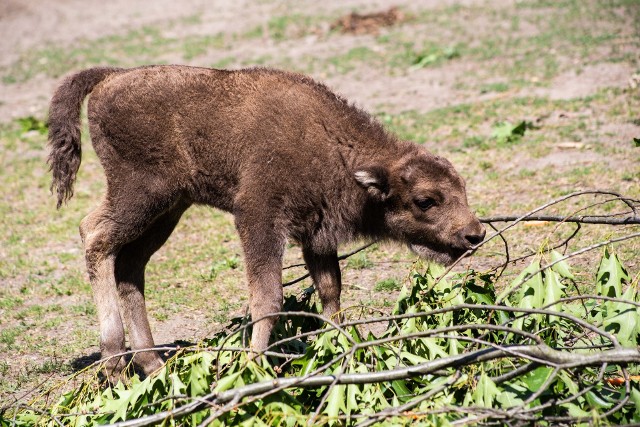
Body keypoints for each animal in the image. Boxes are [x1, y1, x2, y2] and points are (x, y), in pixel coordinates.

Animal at [47, 67, 482, 382]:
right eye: (425, 200)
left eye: (462, 187)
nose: (473, 234)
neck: (334, 147)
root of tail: (111, 77)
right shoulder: (259, 217)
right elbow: (267, 297)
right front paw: (253, 366)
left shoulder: (316, 235)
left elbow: (331, 290)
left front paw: (341, 347)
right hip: (142, 194)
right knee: (94, 235)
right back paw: (115, 364)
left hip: (168, 210)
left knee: (130, 265)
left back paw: (153, 366)